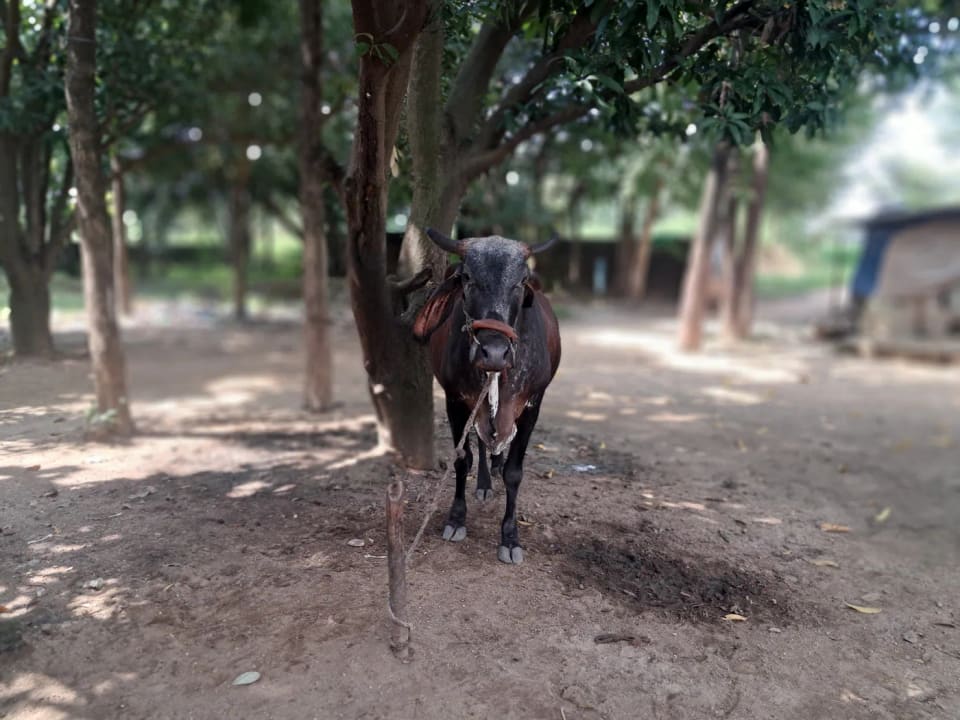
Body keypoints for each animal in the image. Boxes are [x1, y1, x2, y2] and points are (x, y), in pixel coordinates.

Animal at [412, 229, 561, 564]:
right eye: (467, 277)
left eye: (521, 280)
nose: (493, 353)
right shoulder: (455, 400)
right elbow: (462, 459)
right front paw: (456, 519)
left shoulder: (533, 404)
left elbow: (514, 473)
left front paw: (510, 537)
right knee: (482, 442)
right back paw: (484, 481)